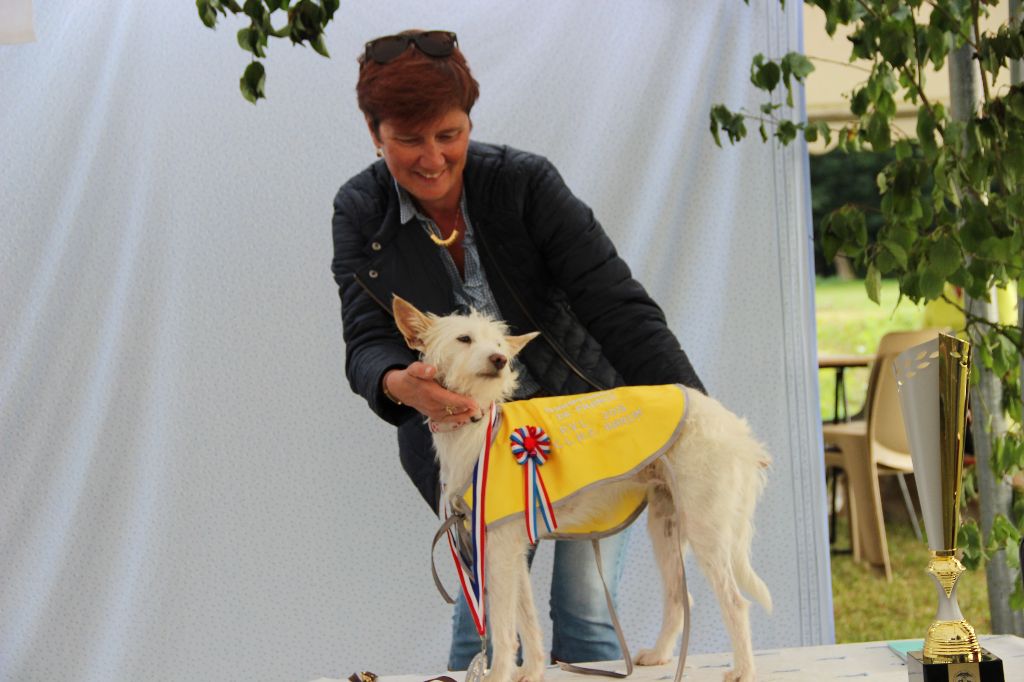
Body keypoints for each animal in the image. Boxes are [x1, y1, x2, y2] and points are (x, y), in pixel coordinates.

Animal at [393, 296, 774, 679]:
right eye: (464, 339)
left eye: (499, 343)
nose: (499, 359)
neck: (478, 431)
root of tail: (731, 426)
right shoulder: (512, 549)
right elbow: (527, 620)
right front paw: (532, 671)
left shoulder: (499, 549)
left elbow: (502, 630)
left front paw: (499, 674)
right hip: (666, 526)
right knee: (680, 597)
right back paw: (660, 654)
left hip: (705, 526)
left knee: (735, 601)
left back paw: (743, 670)